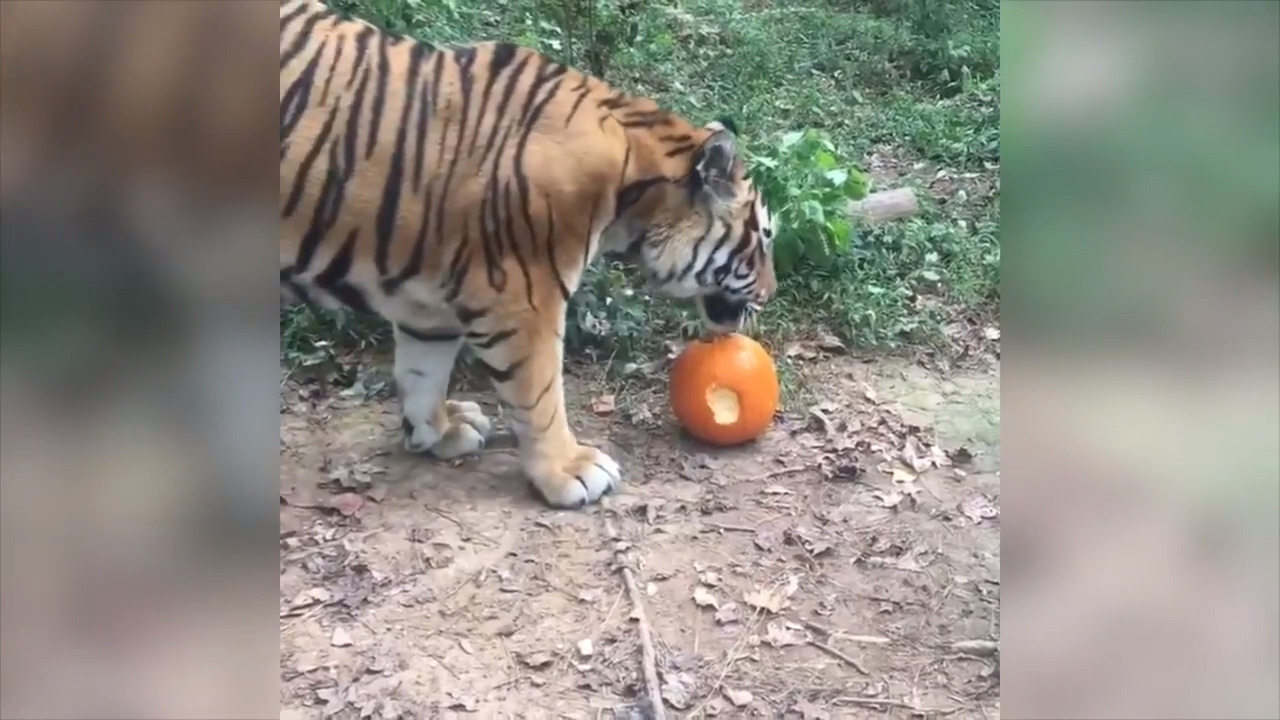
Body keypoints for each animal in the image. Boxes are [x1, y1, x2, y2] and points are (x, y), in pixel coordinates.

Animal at [280, 0, 778, 508]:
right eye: (764, 237)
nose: (771, 294)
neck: (633, 184)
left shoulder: (427, 302)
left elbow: (424, 370)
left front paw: (439, 430)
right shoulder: (522, 297)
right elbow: (540, 395)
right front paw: (569, 469)